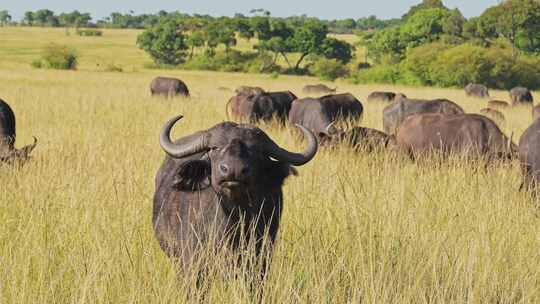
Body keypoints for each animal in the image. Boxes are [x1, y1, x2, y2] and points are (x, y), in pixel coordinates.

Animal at [152, 116, 318, 278]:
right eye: (214, 147)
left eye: (256, 151)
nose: (233, 169)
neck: (235, 217)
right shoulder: (192, 265)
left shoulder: (261, 260)